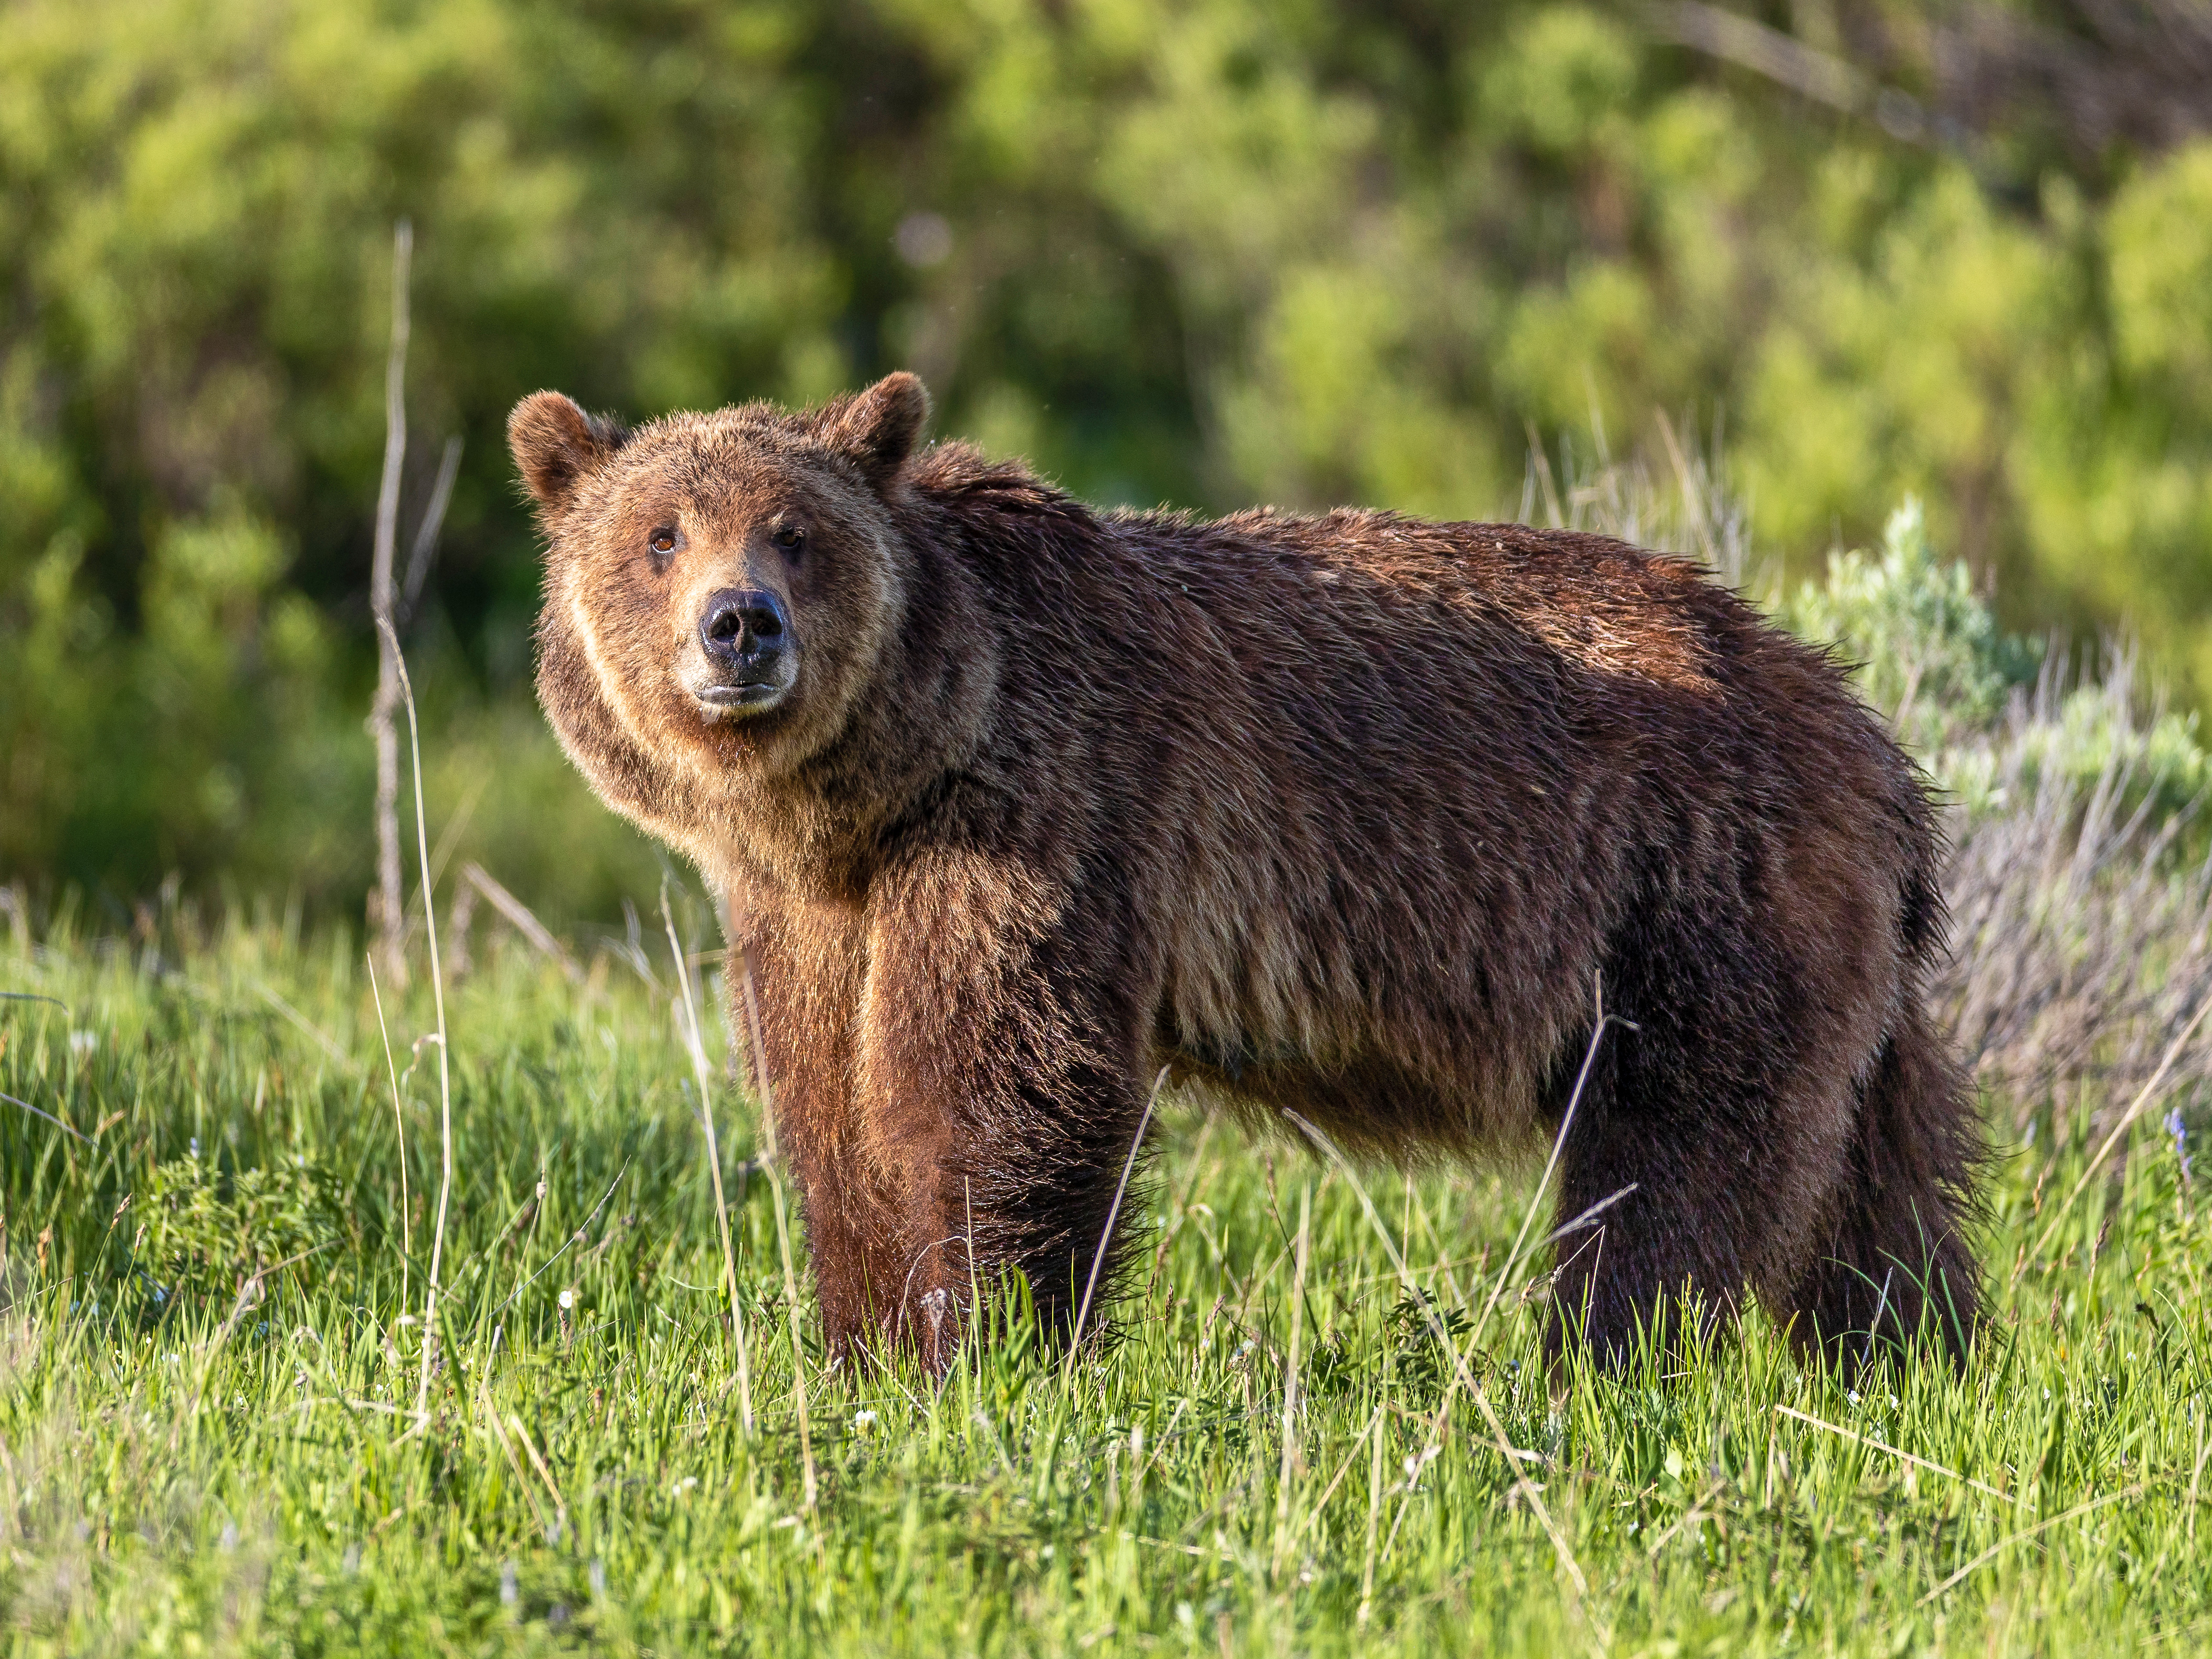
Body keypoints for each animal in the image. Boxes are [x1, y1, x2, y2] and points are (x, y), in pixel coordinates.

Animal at [509, 371, 1983, 1375]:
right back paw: (1911, 1359)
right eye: (659, 533)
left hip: (1695, 892)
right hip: (1830, 959)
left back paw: (1599, 1366)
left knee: (1682, 1165)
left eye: (794, 531)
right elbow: (831, 1108)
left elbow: (993, 1088)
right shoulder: (812, 910)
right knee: (1879, 1179)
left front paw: (984, 1348)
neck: (886, 779)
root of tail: (1874, 739)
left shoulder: (1047, 810)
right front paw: (863, 1344)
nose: (739, 625)